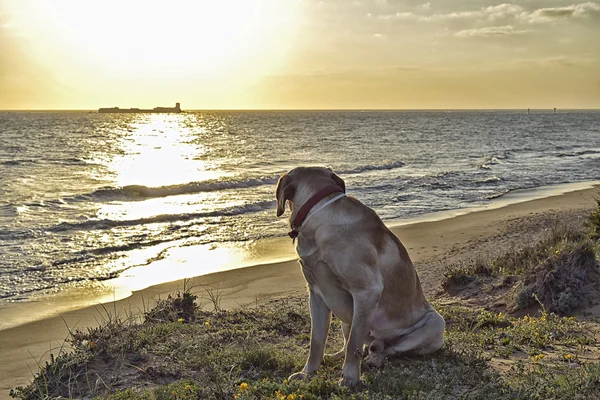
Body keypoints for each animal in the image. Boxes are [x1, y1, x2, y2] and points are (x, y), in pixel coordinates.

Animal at [276, 167, 446, 386]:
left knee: (389, 350)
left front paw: (349, 377)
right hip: (346, 317)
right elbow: (316, 342)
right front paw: (307, 373)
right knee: (356, 342)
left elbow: (354, 344)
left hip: (434, 324)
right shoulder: (317, 295)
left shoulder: (366, 291)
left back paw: (375, 358)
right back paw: (338, 355)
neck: (318, 215)